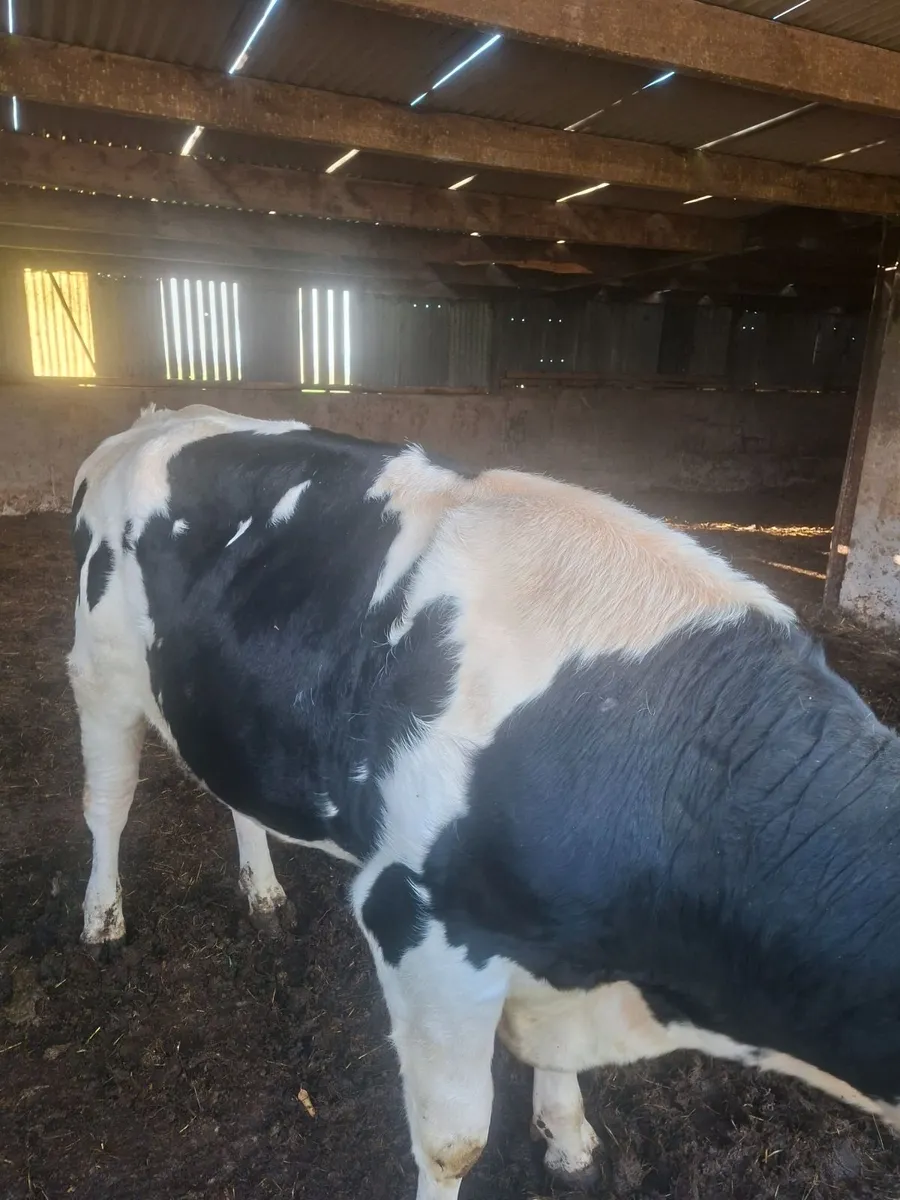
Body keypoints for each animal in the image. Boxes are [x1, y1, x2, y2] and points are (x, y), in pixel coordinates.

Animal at [69, 403, 900, 1199]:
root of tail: (160, 420)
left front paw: (569, 1139)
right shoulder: (418, 924)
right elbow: (454, 1144)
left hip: (226, 705)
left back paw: (264, 893)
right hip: (101, 674)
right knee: (108, 802)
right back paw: (102, 921)